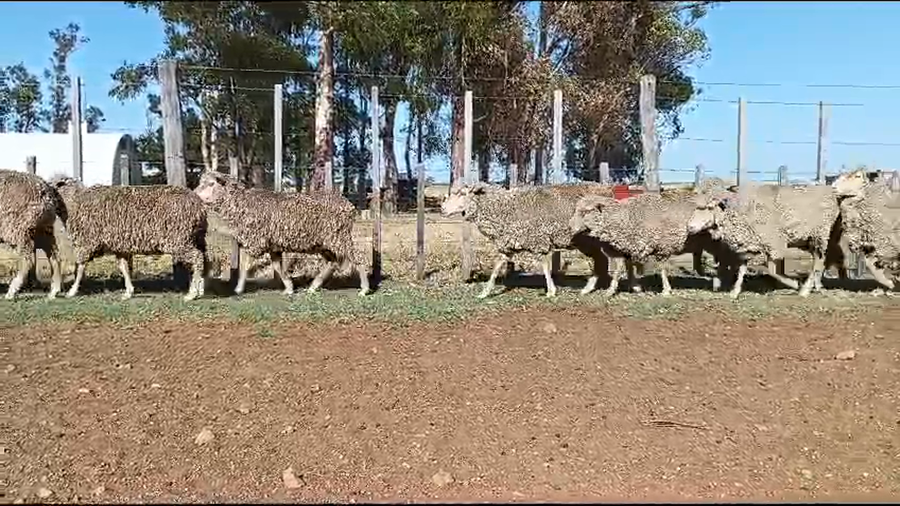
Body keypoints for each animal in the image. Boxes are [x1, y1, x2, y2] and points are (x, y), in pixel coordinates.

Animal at [0, 169, 64, 300]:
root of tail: (45, 191)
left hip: (19, 229)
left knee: (27, 260)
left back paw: (12, 291)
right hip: (42, 229)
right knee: (55, 256)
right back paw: (54, 290)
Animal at [51, 177, 209, 301]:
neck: (74, 202)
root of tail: (199, 206)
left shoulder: (87, 243)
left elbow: (80, 268)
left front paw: (71, 291)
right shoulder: (120, 247)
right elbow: (124, 268)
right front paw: (128, 292)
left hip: (179, 240)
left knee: (197, 258)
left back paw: (192, 294)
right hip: (194, 238)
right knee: (202, 259)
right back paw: (199, 289)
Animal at [193, 170, 370, 297]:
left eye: (211, 184)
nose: (194, 194)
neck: (242, 204)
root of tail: (348, 205)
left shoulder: (256, 241)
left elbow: (245, 265)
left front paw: (238, 289)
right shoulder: (272, 246)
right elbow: (277, 267)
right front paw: (289, 288)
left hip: (339, 237)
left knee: (357, 257)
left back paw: (364, 289)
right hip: (325, 242)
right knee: (332, 263)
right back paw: (313, 287)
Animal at [441, 182, 613, 298]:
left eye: (462, 194)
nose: (442, 209)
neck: (505, 209)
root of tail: (607, 190)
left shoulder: (538, 239)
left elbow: (545, 265)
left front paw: (551, 291)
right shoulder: (507, 243)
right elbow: (497, 267)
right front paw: (485, 292)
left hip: (589, 240)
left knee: (601, 260)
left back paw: (593, 287)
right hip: (587, 241)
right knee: (601, 260)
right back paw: (591, 287)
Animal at [686, 182, 842, 298]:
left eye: (709, 207)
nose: (689, 226)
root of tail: (830, 191)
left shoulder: (773, 243)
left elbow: (772, 270)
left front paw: (794, 283)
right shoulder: (749, 245)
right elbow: (742, 268)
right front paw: (735, 292)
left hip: (820, 234)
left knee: (819, 260)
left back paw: (805, 290)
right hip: (810, 239)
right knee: (819, 260)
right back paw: (816, 286)